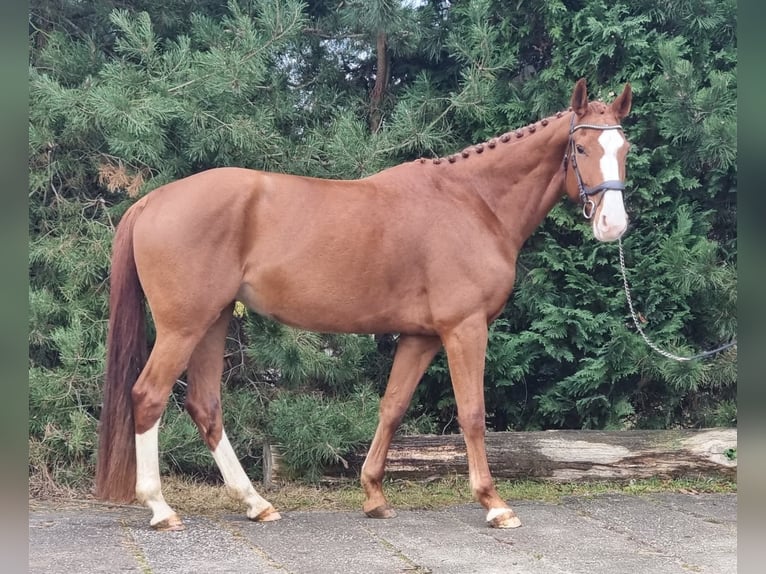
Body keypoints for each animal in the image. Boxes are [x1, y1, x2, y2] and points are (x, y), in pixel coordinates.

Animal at [95, 78, 632, 531]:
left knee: (205, 405)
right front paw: (494, 504)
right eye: (581, 147)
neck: (473, 203)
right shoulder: (465, 328)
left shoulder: (420, 336)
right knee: (148, 396)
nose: (614, 224)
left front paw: (374, 496)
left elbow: (392, 407)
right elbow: (472, 412)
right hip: (182, 326)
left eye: (624, 148)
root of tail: (151, 201)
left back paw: (255, 503)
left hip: (213, 321)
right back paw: (161, 509)